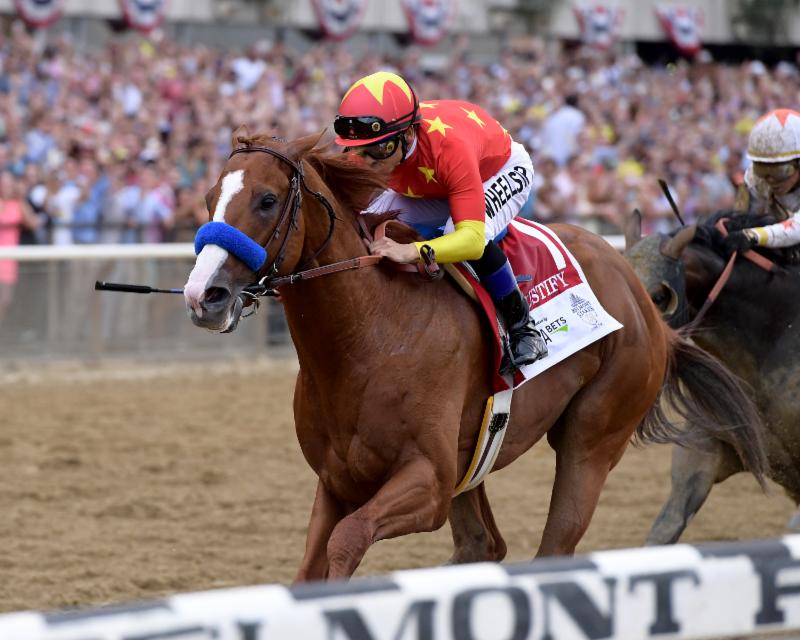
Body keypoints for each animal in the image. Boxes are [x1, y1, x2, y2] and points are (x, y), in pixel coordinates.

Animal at [184, 134, 764, 580]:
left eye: (266, 200)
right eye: (210, 196)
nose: (202, 294)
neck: (369, 335)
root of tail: (644, 302)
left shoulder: (429, 483)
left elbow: (346, 541)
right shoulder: (337, 480)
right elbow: (311, 568)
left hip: (593, 438)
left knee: (555, 542)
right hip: (476, 454)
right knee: (483, 545)